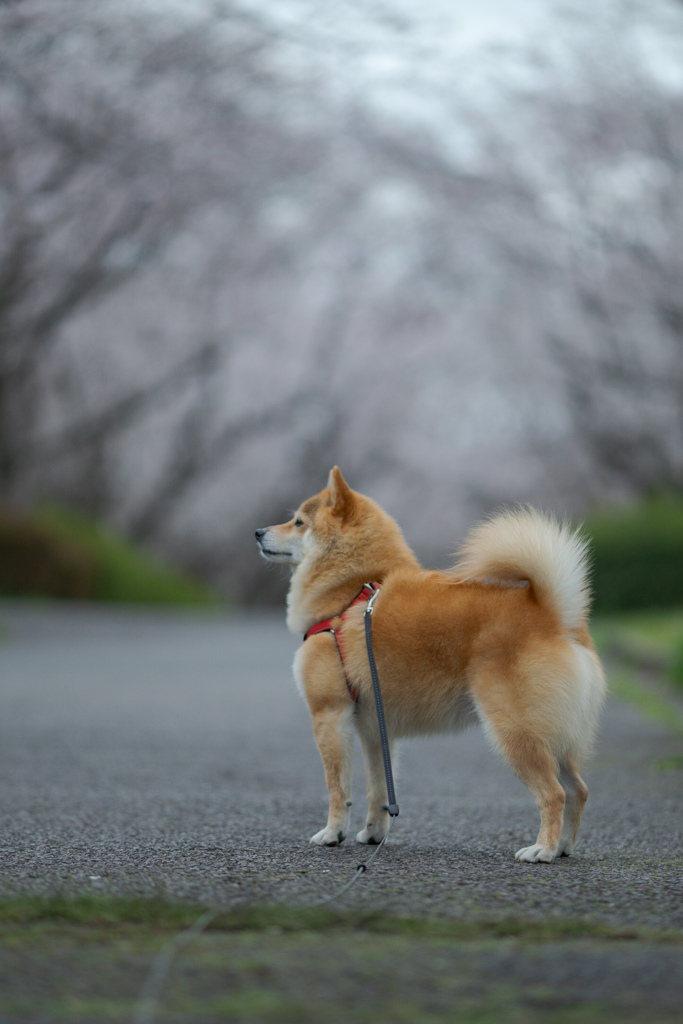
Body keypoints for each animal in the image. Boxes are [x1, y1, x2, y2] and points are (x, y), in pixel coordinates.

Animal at [254, 468, 602, 860]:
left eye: (298, 522)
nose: (258, 532)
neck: (348, 590)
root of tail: (555, 614)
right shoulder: (374, 730)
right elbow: (378, 790)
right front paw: (373, 834)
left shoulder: (330, 715)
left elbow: (338, 789)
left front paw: (332, 833)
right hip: (556, 737)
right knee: (578, 790)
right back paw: (563, 847)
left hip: (515, 732)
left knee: (554, 793)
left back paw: (542, 849)